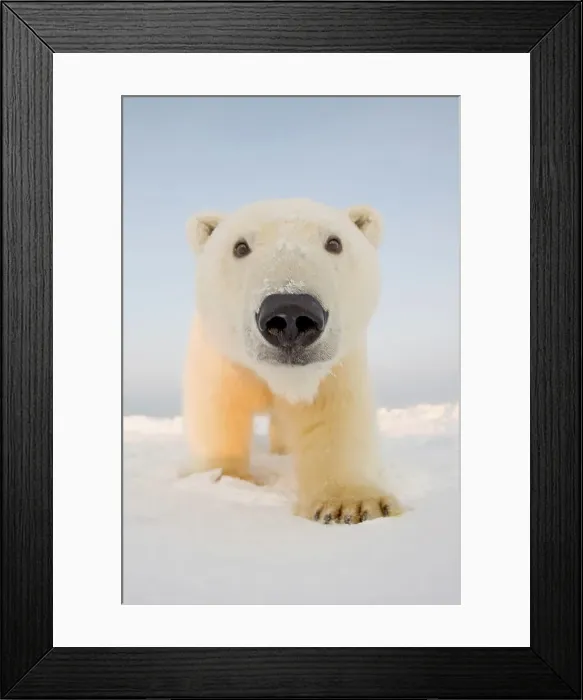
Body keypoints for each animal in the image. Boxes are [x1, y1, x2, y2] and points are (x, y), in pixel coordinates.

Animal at [182, 198, 402, 524]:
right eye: (240, 246)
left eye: (334, 242)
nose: (290, 314)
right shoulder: (222, 358)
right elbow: (219, 408)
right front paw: (223, 477)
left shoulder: (334, 368)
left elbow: (333, 416)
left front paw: (353, 505)